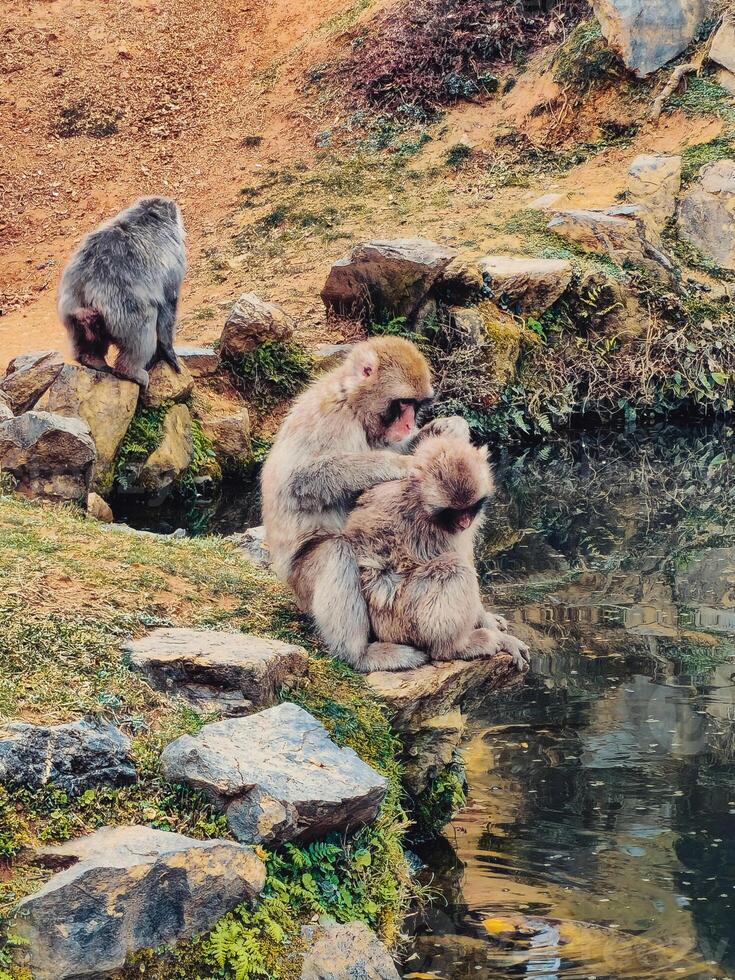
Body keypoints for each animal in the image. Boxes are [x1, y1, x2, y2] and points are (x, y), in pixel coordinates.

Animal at [59, 195, 188, 386]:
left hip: (74, 319)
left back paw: (92, 360)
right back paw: (132, 372)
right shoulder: (172, 262)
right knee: (143, 330)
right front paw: (169, 353)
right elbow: (168, 303)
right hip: (124, 315)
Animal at [344, 438, 528, 672]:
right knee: (453, 568)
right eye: (453, 511)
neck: (419, 497)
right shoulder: (437, 532)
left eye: (469, 508)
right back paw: (454, 648)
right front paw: (501, 637)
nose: (464, 522)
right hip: (400, 622)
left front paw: (488, 619)